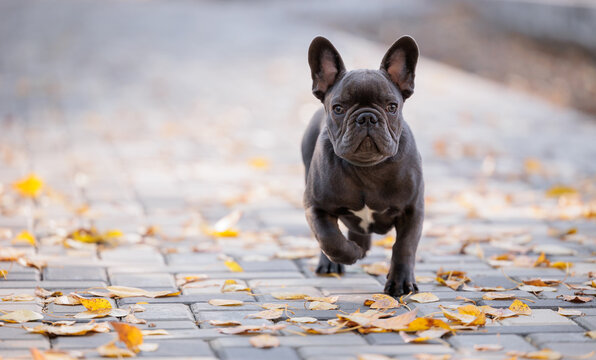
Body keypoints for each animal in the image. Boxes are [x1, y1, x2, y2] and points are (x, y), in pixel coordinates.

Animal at [302, 35, 424, 296]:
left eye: (392, 107)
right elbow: (329, 239)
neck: (368, 168)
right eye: (338, 108)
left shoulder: (412, 210)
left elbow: (404, 246)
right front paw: (349, 253)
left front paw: (401, 283)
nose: (367, 117)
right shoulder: (315, 206)